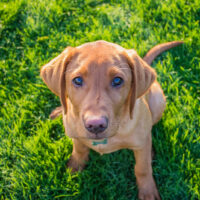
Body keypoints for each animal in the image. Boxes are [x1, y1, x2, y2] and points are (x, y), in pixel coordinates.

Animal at [40, 39, 183, 199]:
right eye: (77, 80)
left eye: (117, 80)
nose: (95, 125)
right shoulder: (75, 133)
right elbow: (79, 149)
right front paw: (75, 167)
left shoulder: (141, 143)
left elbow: (142, 168)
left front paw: (147, 192)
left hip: (158, 102)